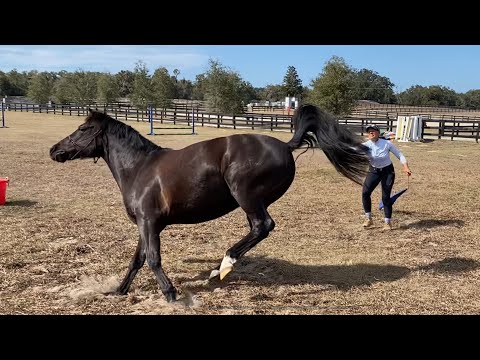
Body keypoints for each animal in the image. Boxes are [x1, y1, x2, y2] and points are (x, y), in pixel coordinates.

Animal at [48, 105, 370, 302]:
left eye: (82, 129)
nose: (54, 150)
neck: (139, 168)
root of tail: (286, 145)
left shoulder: (150, 223)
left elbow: (153, 259)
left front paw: (171, 294)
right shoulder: (145, 224)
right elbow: (137, 260)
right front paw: (119, 291)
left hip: (247, 197)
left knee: (262, 226)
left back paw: (224, 266)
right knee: (258, 229)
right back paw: (220, 269)